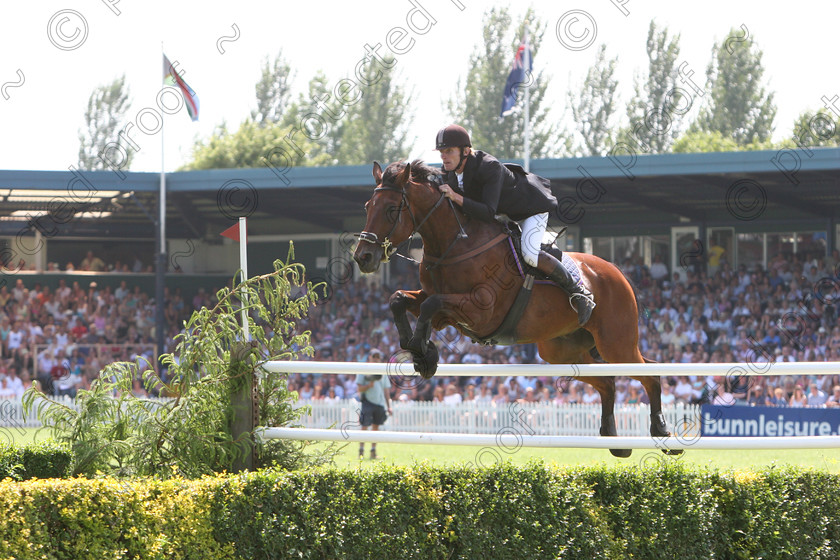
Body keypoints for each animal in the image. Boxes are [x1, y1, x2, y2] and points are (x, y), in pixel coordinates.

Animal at [352, 160, 676, 458]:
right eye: (367, 206)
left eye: (391, 209)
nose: (362, 258)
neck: (455, 244)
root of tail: (618, 272)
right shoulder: (440, 304)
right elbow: (399, 299)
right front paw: (420, 352)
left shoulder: (481, 311)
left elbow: (431, 306)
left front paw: (423, 352)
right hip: (562, 352)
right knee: (607, 381)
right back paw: (615, 440)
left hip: (615, 344)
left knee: (650, 374)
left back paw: (662, 433)